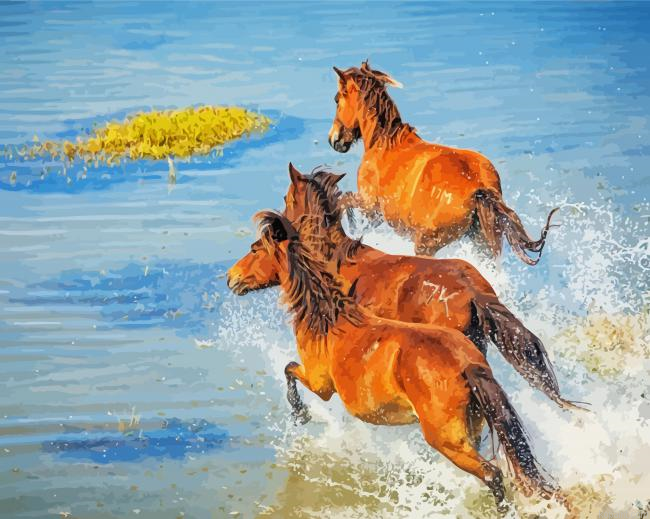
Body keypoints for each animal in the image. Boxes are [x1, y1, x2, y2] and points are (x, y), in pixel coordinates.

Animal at [228, 209, 560, 512]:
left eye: (255, 249)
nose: (231, 278)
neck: (327, 317)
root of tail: (468, 365)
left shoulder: (321, 384)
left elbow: (289, 370)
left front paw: (300, 414)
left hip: (446, 439)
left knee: (492, 474)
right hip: (472, 427)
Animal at [327, 60, 558, 265]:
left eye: (337, 99)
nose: (334, 139)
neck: (384, 143)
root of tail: (479, 188)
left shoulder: (369, 204)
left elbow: (344, 200)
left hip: (426, 243)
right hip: (482, 242)